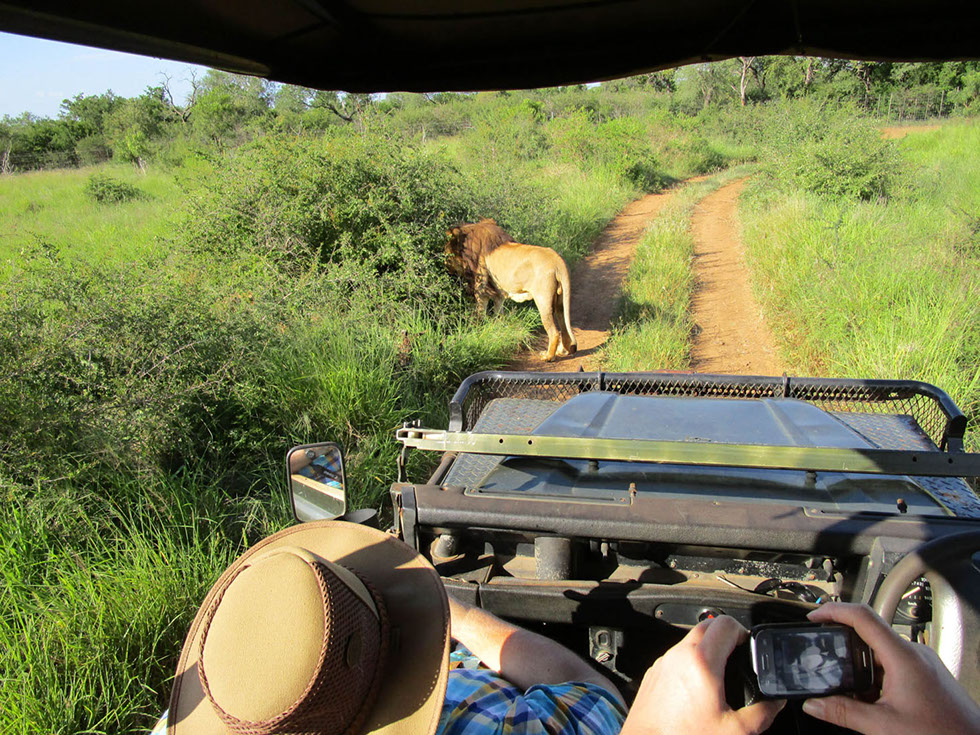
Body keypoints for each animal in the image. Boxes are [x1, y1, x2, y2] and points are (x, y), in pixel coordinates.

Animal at [444, 218, 576, 362]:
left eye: (445, 253)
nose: (444, 265)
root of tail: (558, 260)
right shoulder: (498, 293)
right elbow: (498, 314)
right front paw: (498, 329)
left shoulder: (481, 288)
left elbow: (480, 312)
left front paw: (478, 329)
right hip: (560, 301)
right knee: (564, 328)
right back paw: (562, 351)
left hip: (542, 299)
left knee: (554, 332)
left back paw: (548, 356)